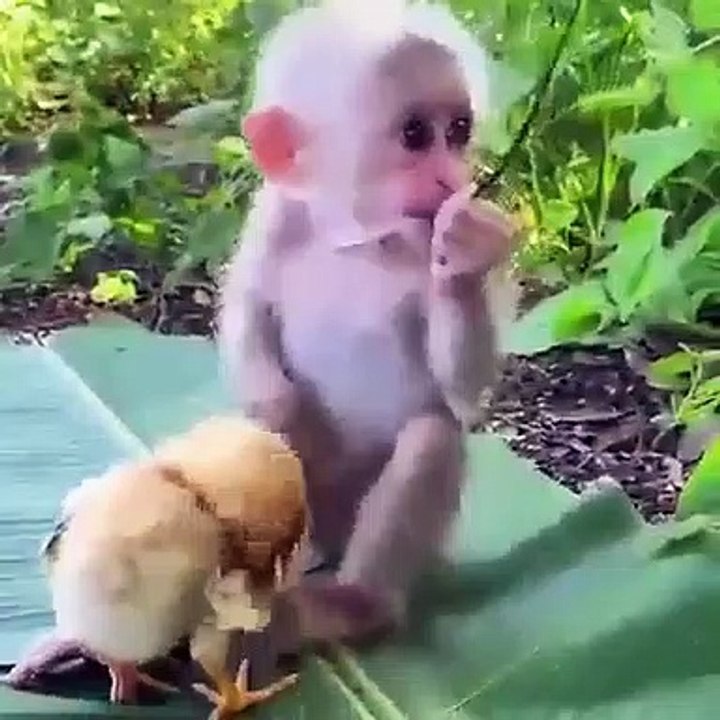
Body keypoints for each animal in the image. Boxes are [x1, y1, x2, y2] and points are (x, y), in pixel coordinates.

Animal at [217, 0, 518, 650]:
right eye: (415, 134)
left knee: (430, 437)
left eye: (458, 130)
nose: (451, 175)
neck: (356, 236)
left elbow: (463, 396)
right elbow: (249, 306)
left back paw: (355, 605)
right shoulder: (278, 210)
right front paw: (278, 406)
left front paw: (468, 258)